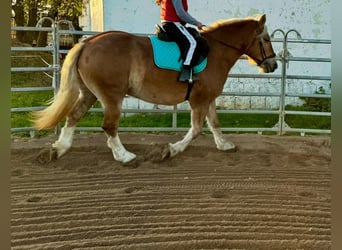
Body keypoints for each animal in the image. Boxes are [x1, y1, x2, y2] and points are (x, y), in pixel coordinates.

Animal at [32, 15, 278, 164]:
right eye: (266, 39)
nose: (273, 65)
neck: (216, 50)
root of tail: (87, 43)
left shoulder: (209, 97)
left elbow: (215, 124)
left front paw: (224, 145)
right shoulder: (199, 99)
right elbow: (196, 129)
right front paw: (171, 150)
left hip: (90, 94)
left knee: (73, 116)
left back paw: (59, 148)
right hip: (112, 96)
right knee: (109, 126)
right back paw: (124, 156)